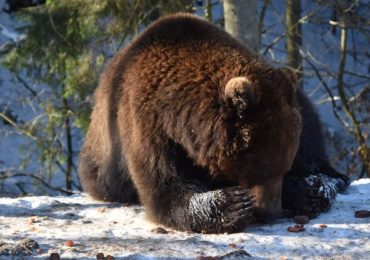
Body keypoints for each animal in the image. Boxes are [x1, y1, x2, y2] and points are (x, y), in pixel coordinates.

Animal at [79, 13, 350, 234]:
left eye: (284, 166)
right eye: (262, 169)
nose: (271, 212)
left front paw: (304, 189)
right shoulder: (146, 122)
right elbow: (164, 184)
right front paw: (233, 204)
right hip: (102, 168)